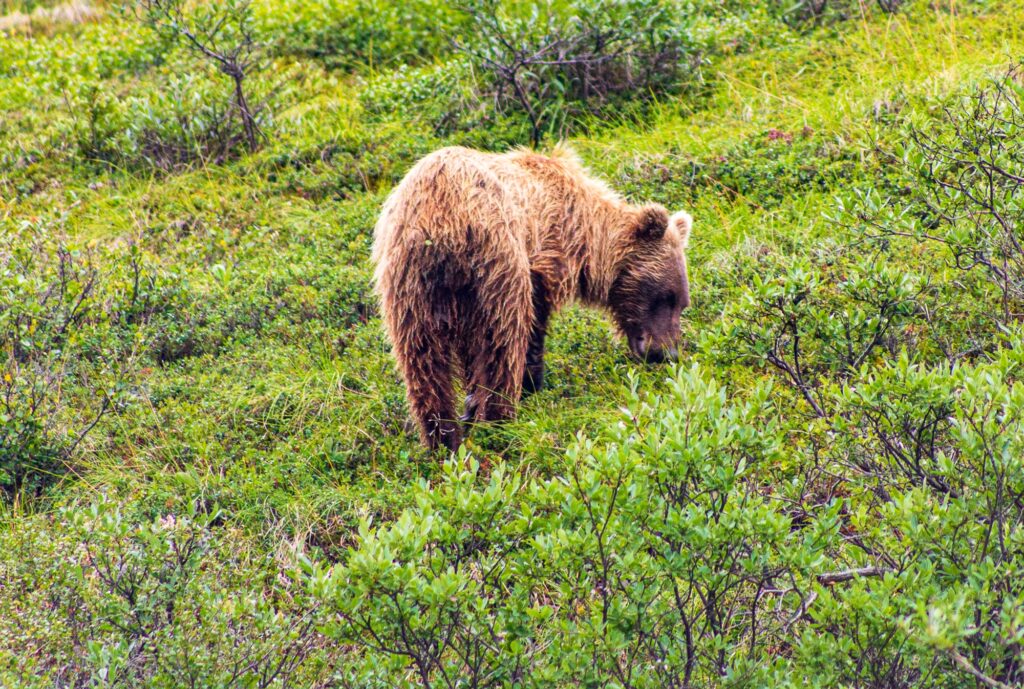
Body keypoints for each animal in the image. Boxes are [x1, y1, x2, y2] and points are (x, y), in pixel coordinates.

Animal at [372, 143, 692, 450]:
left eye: (681, 302)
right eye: (667, 296)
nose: (666, 353)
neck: (584, 232)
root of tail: (441, 220)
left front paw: (470, 408)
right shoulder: (542, 259)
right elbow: (531, 327)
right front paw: (529, 384)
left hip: (409, 289)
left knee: (421, 360)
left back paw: (442, 437)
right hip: (496, 263)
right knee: (501, 341)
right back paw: (500, 421)